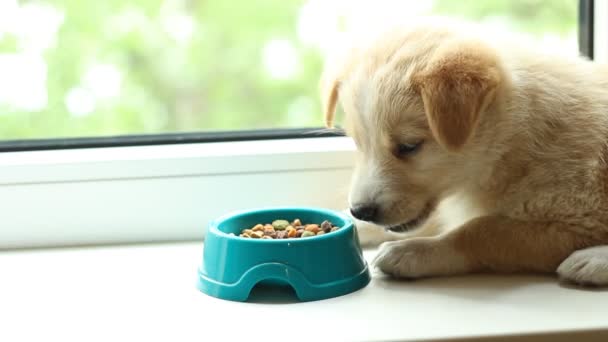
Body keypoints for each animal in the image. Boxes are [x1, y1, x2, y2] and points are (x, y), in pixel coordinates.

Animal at [320, 19, 608, 286]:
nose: (361, 211)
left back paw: (592, 260)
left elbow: (483, 230)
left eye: (409, 146)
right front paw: (351, 222)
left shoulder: (580, 221)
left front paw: (414, 251)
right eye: (359, 144)